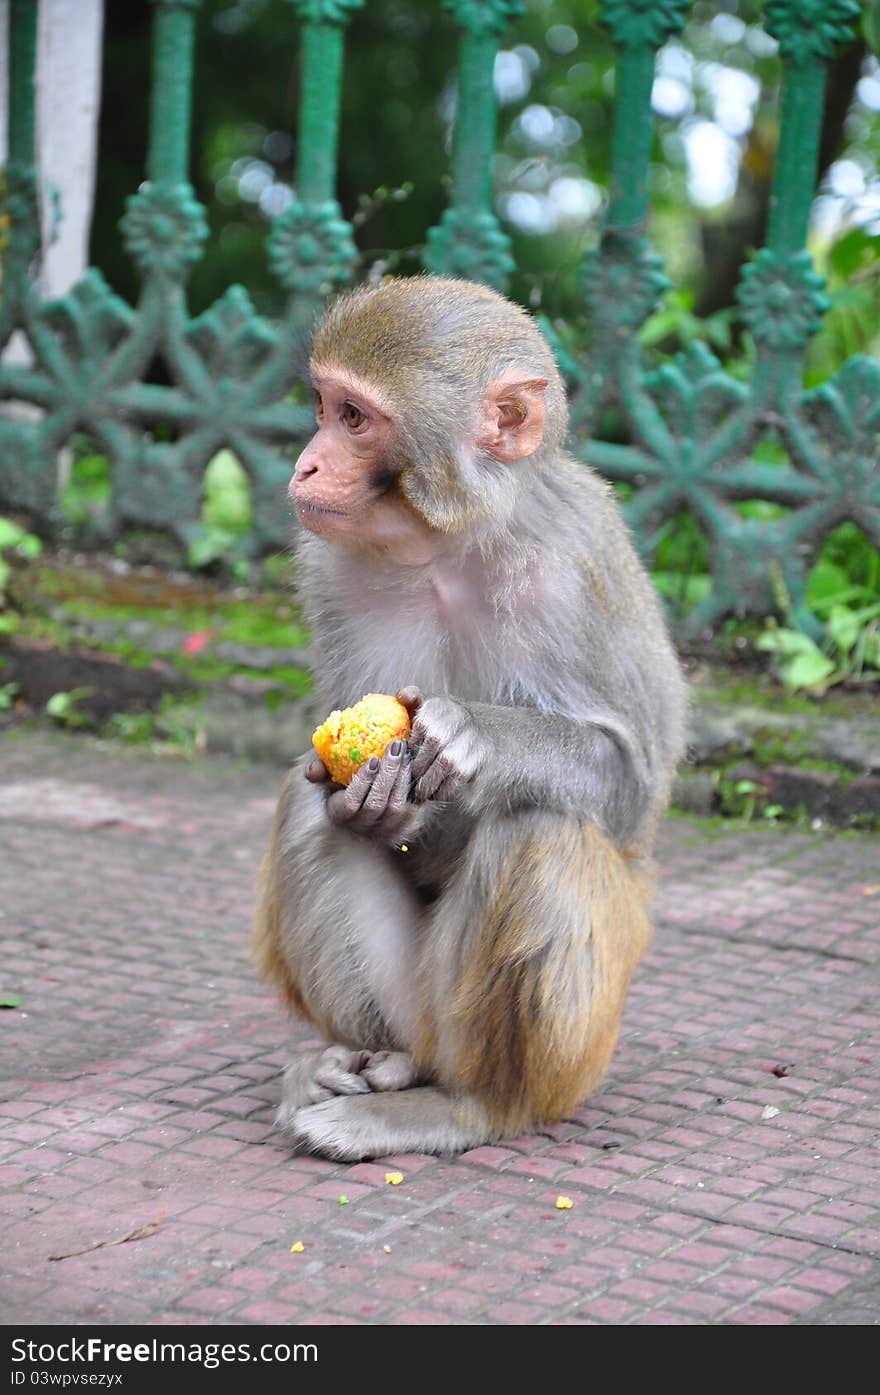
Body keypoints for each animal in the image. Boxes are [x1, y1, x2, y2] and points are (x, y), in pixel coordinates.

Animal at [252, 274, 688, 1166]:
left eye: (355, 419)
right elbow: (328, 771)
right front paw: (380, 803)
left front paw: (479, 735)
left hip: (574, 1049)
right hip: (413, 1010)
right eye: (323, 406)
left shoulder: (577, 561)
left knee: (539, 831)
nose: (306, 463)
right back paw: (352, 1065)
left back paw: (465, 1106)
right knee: (307, 809)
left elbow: (632, 788)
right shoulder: (330, 566)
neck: (452, 542)